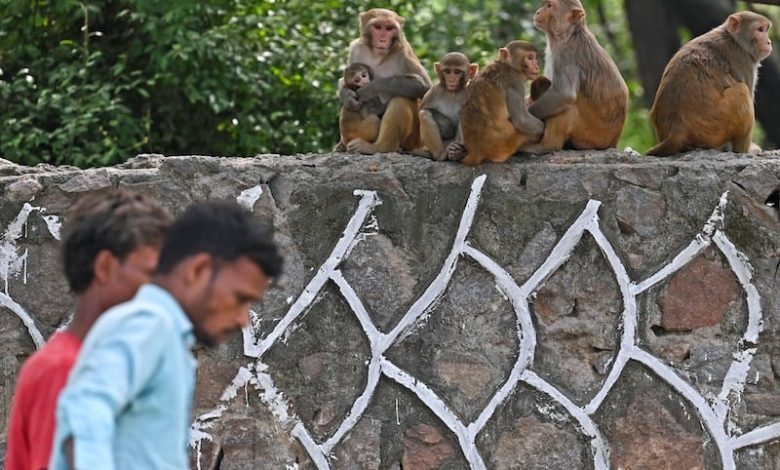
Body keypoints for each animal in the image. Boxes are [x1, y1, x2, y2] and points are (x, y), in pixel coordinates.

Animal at [336, 7, 432, 154]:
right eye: (377, 27)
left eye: (389, 28)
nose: (382, 39)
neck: (378, 55)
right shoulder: (356, 48)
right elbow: (345, 80)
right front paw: (347, 96)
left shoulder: (404, 52)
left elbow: (425, 87)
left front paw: (372, 88)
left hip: (414, 139)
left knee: (402, 99)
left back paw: (379, 147)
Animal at [520, 0, 632, 153]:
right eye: (544, 4)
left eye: (549, 6)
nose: (538, 12)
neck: (568, 34)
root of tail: (612, 143)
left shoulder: (566, 55)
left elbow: (564, 94)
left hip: (591, 134)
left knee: (568, 106)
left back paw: (545, 146)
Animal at [644, 11, 772, 157]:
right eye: (760, 30)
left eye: (766, 29)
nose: (769, 42)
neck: (734, 40)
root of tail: (676, 132)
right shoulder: (744, 61)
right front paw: (746, 150)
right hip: (714, 128)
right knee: (741, 91)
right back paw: (743, 150)